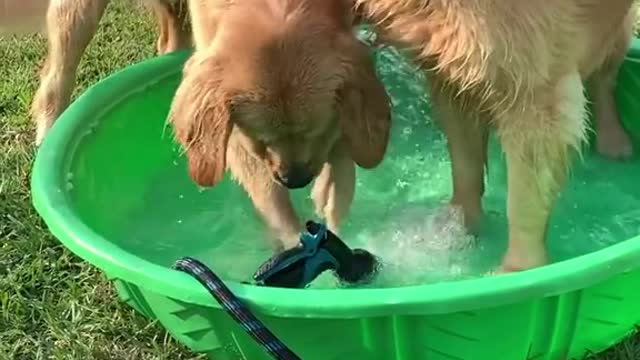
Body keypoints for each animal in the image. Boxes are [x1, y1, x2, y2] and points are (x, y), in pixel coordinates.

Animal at [168, 0, 390, 249]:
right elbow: (269, 193)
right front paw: (293, 234)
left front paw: (331, 196)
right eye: (262, 140)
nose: (295, 181)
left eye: (315, 132)